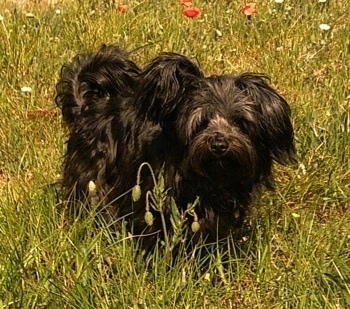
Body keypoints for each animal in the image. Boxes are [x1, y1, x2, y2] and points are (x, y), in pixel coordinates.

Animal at [54, 44, 296, 244]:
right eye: (201, 122)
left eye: (240, 122)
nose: (219, 144)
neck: (210, 180)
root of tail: (86, 109)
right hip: (94, 179)